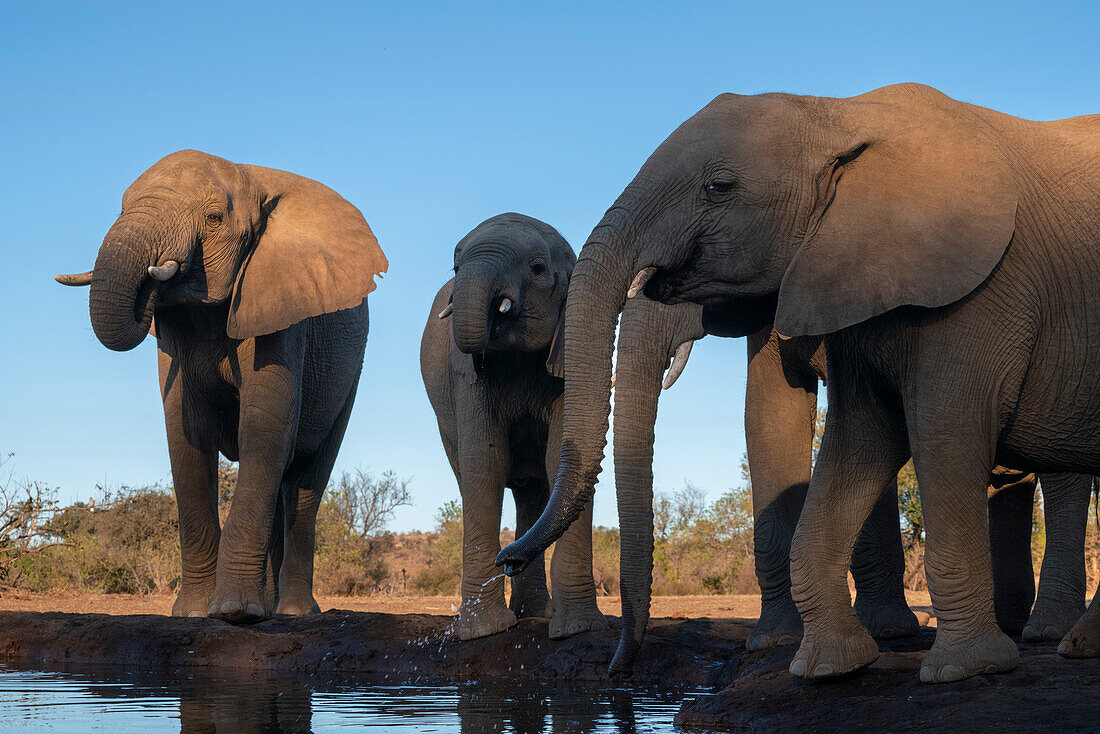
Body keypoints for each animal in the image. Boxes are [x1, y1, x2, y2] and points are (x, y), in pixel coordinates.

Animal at [59, 151, 391, 625]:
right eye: (121, 208)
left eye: (214, 218)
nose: (151, 283)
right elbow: (186, 433)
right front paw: (194, 615)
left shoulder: (281, 305)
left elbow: (265, 423)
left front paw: (235, 613)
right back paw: (270, 609)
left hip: (348, 379)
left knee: (305, 482)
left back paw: (293, 613)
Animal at [420, 213, 611, 642]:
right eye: (455, 267)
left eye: (538, 268)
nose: (506, 560)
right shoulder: (466, 375)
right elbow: (484, 463)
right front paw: (483, 633)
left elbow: (559, 456)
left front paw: (577, 630)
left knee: (536, 491)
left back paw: (537, 614)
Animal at [499, 81, 1100, 682]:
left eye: (719, 187)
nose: (507, 560)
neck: (839, 113)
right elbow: (823, 426)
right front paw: (820, 662)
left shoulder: (979, 290)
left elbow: (946, 426)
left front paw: (964, 669)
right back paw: (1070, 640)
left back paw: (1048, 636)